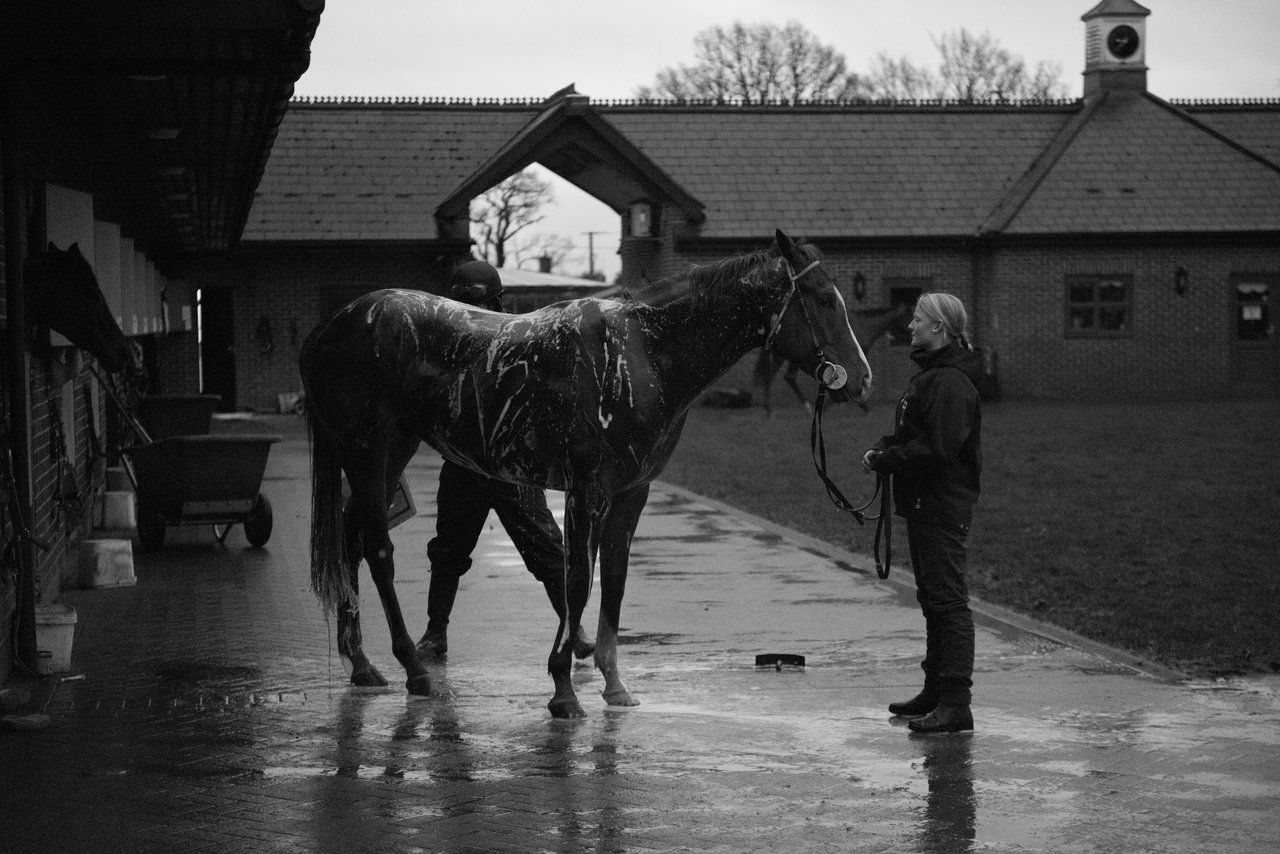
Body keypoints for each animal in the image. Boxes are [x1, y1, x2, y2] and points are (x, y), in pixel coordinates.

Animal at [299, 229, 870, 722]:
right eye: (823, 299)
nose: (862, 380)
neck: (643, 351)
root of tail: (331, 327)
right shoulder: (586, 492)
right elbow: (578, 580)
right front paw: (563, 692)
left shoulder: (631, 494)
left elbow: (612, 578)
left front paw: (614, 685)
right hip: (369, 452)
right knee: (378, 549)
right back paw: (414, 671)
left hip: (391, 451)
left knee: (351, 539)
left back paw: (362, 665)